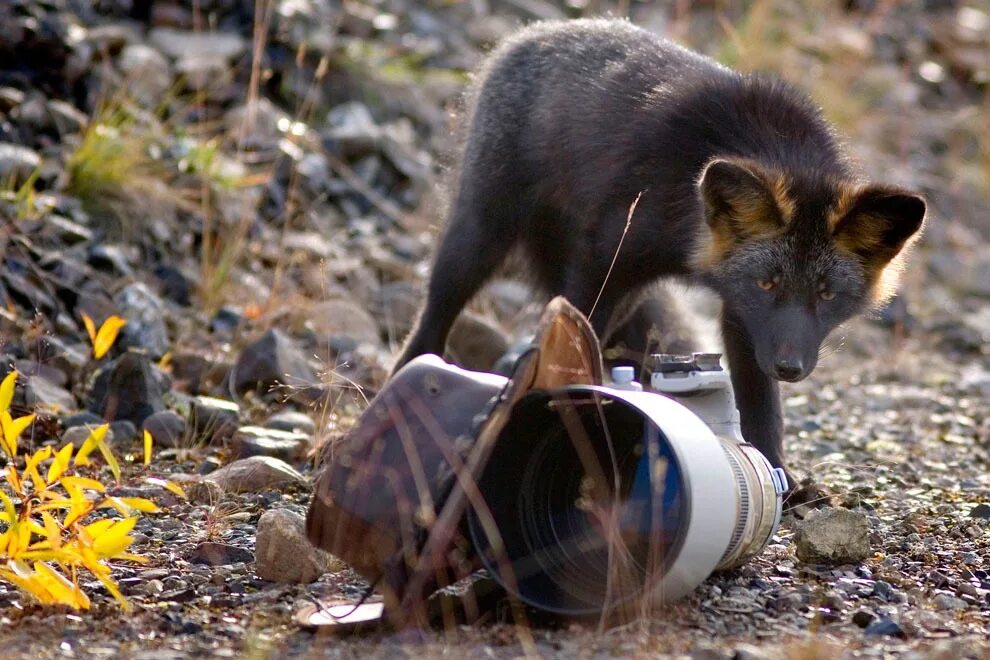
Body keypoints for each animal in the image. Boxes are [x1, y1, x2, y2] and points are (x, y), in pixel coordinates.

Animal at [392, 18, 928, 476]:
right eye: (768, 283)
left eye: (826, 294)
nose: (789, 367)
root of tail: (532, 33)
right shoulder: (604, 261)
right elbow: (575, 339)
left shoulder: (742, 313)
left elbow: (759, 401)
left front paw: (778, 475)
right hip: (479, 238)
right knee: (434, 314)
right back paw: (411, 382)